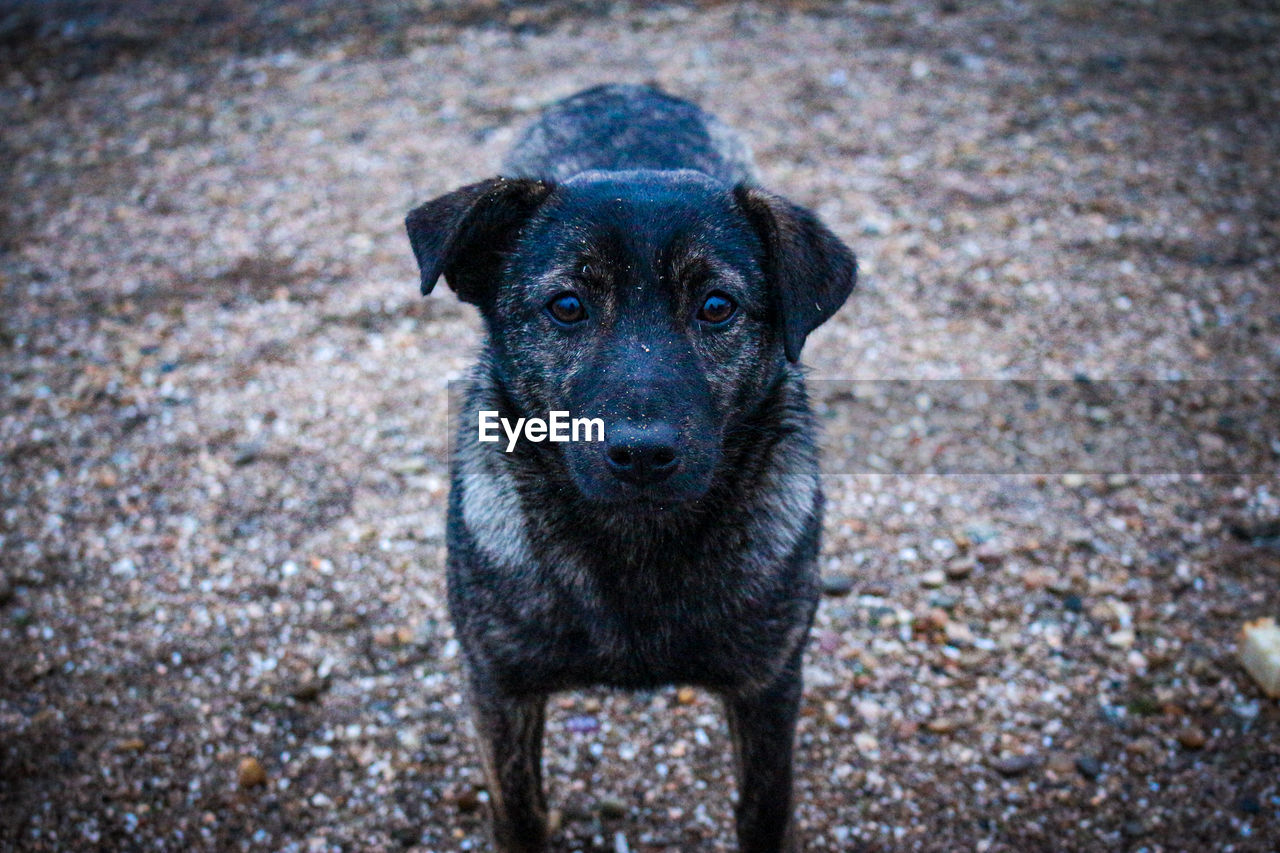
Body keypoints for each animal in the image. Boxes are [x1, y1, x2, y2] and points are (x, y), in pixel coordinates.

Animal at [404, 81, 855, 850]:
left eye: (716, 306)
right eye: (566, 305)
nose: (642, 453)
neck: (635, 545)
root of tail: (628, 88)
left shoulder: (768, 689)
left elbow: (763, 810)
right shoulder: (500, 689)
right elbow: (520, 813)